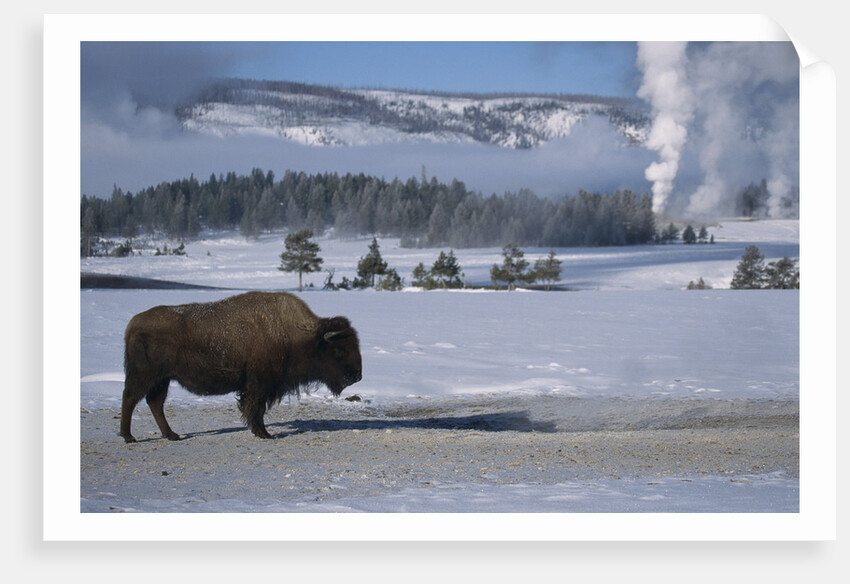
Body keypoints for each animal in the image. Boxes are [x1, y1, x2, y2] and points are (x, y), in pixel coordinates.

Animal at [120, 291, 362, 442]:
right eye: (339, 350)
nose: (357, 376)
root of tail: (133, 323)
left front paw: (261, 432)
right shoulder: (259, 384)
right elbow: (256, 408)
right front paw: (264, 433)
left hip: (162, 379)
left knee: (155, 403)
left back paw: (171, 435)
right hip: (146, 375)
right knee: (131, 397)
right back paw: (129, 437)